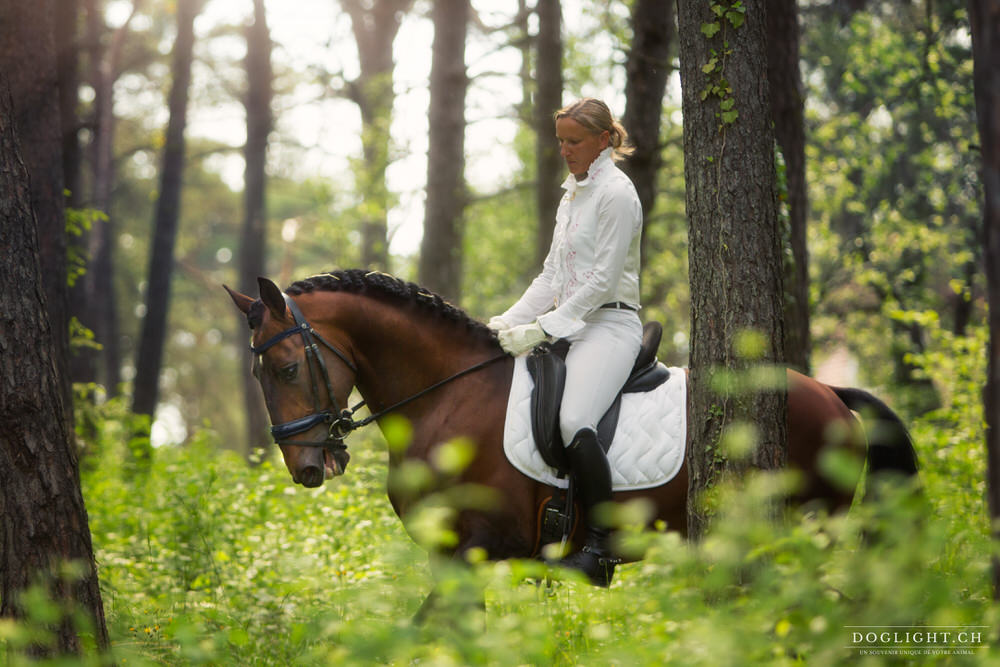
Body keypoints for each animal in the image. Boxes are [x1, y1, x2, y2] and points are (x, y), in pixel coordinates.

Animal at [225, 268, 916, 576]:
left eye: (287, 367)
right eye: (259, 376)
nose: (306, 467)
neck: (447, 398)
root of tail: (829, 392)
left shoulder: (478, 549)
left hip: (808, 528)